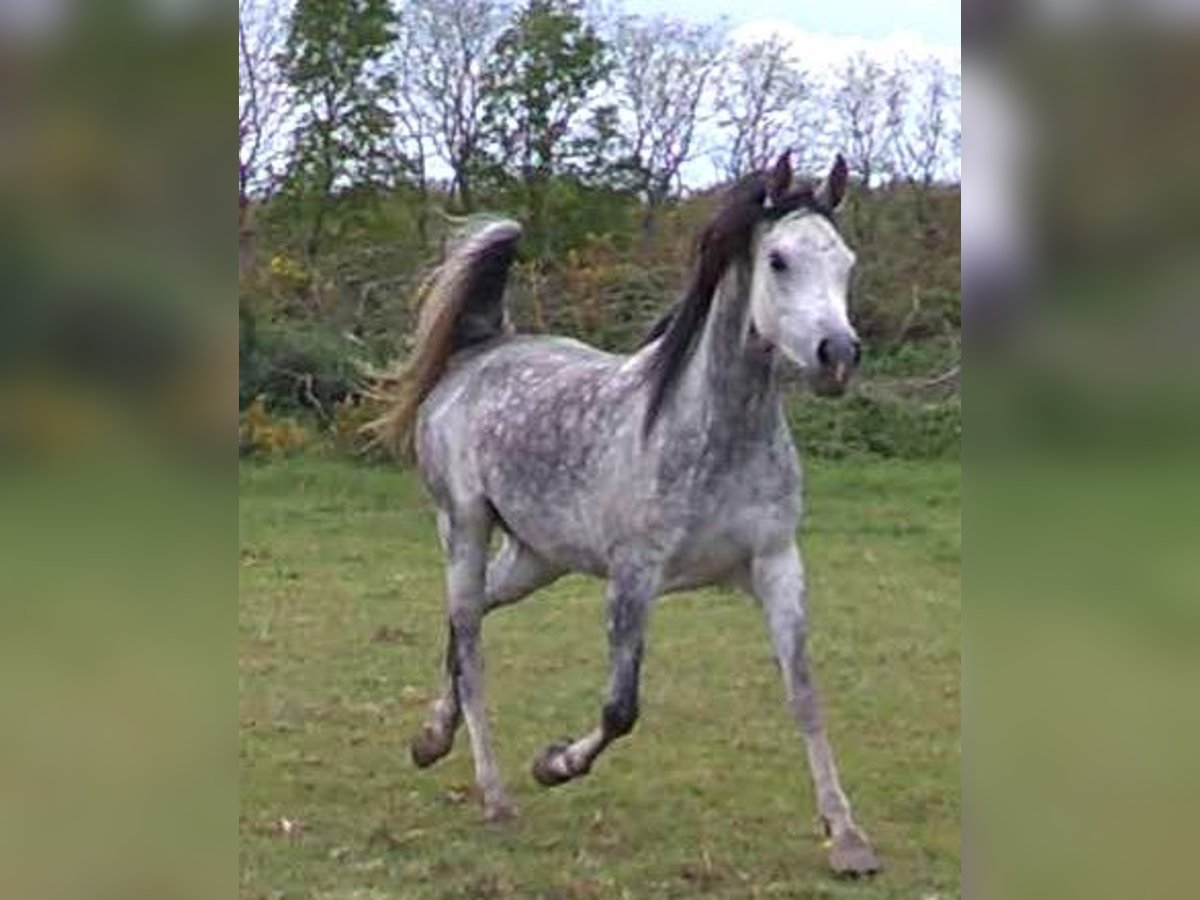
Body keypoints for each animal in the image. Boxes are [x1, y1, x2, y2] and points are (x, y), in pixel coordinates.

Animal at [372, 151, 883, 878]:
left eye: (845, 260)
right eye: (779, 260)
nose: (836, 355)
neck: (712, 429)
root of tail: (481, 351)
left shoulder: (778, 565)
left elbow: (805, 694)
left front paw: (846, 837)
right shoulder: (633, 578)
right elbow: (621, 708)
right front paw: (553, 763)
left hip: (536, 559)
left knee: (464, 622)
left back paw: (430, 739)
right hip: (462, 527)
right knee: (469, 640)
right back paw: (495, 794)